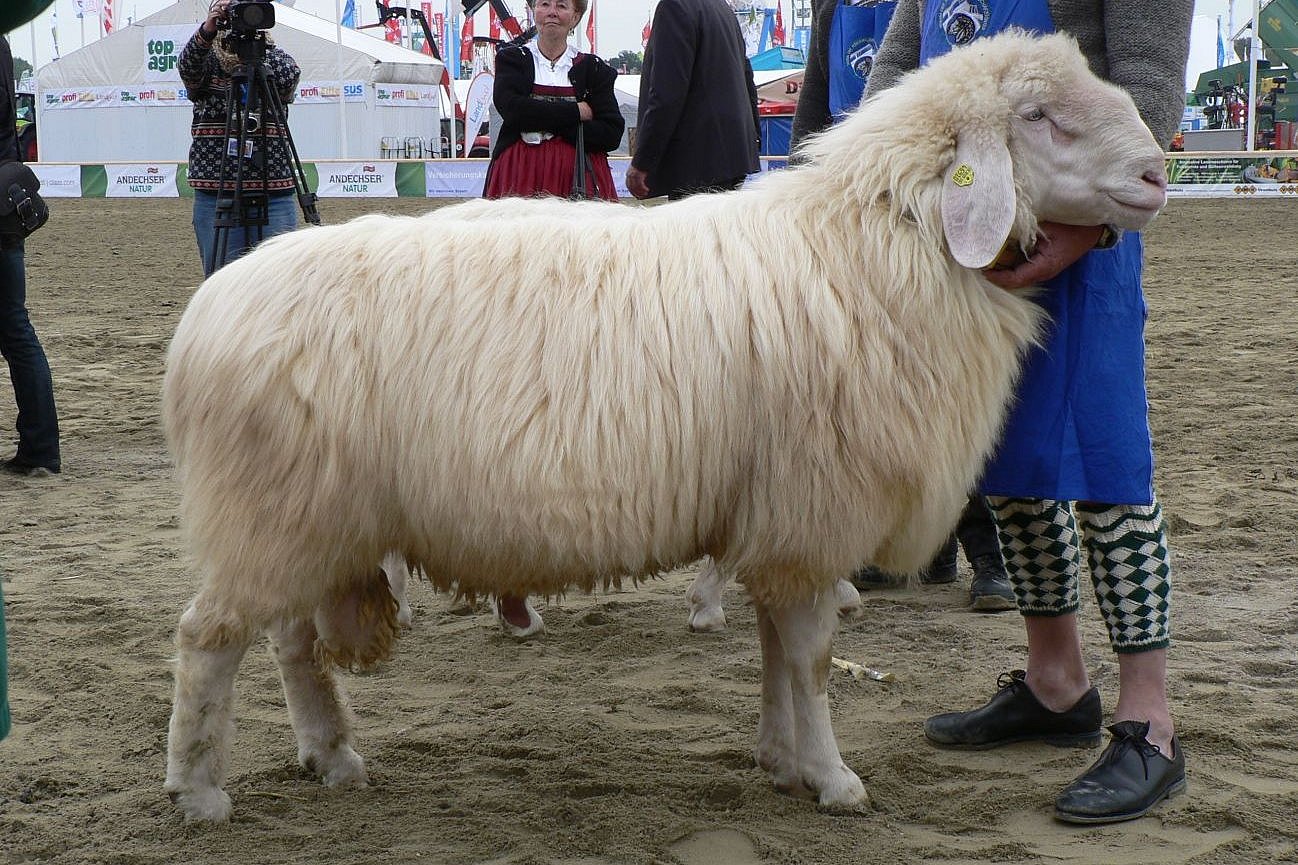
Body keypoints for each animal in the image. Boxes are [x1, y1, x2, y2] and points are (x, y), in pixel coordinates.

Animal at [159, 30, 1168, 820]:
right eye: (1039, 116)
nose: (1158, 172)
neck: (877, 241)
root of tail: (207, 311)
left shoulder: (775, 518)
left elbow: (776, 654)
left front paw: (782, 760)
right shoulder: (811, 510)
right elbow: (812, 661)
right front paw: (834, 778)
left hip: (310, 520)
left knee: (290, 644)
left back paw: (332, 756)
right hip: (273, 511)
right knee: (208, 639)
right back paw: (199, 790)